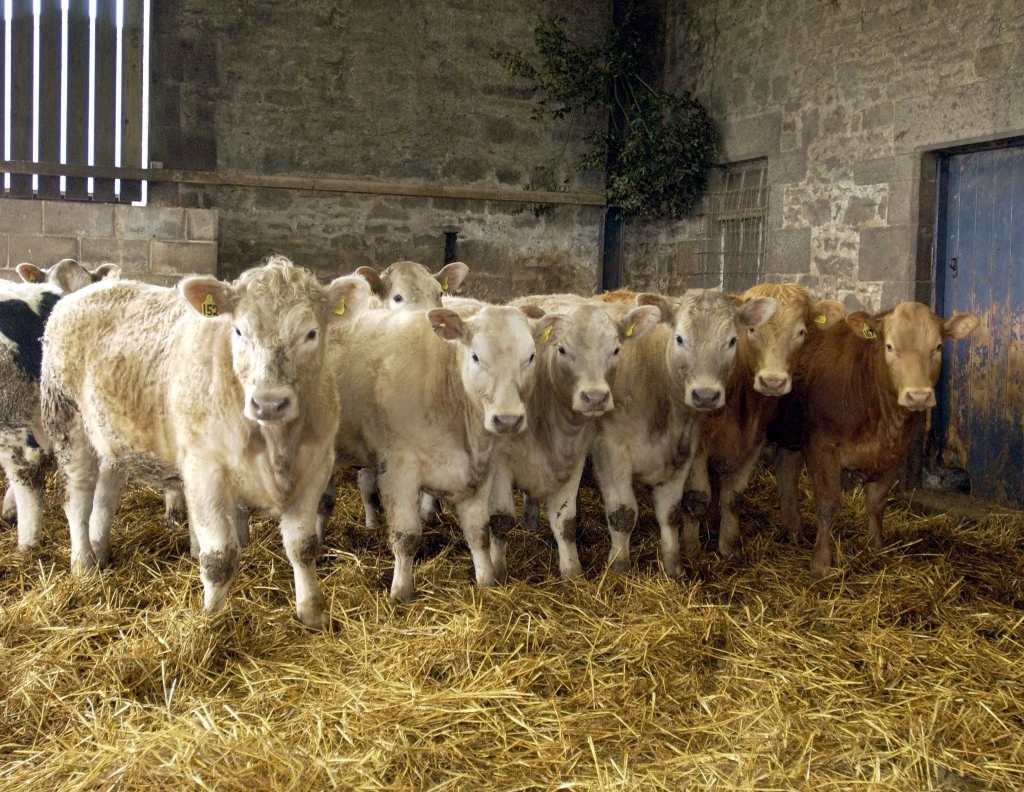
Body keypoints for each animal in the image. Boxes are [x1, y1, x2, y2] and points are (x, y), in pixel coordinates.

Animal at [40, 256, 368, 627]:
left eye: (311, 333)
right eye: (238, 331)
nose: (269, 403)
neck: (276, 444)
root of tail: (81, 294)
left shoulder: (315, 467)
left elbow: (303, 546)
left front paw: (312, 613)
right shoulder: (204, 471)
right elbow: (220, 557)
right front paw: (209, 621)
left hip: (112, 440)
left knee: (105, 498)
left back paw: (100, 550)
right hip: (67, 420)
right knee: (78, 500)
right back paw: (83, 564)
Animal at [684, 284, 843, 557]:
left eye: (801, 331)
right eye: (751, 330)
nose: (772, 381)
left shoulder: (753, 440)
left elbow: (733, 496)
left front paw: (729, 545)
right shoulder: (697, 444)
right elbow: (699, 495)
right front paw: (691, 551)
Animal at [770, 301, 978, 573]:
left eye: (938, 346)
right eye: (889, 346)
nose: (918, 396)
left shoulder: (894, 452)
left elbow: (876, 503)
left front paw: (877, 548)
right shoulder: (822, 447)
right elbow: (828, 504)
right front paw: (821, 563)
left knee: (785, 469)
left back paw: (794, 531)